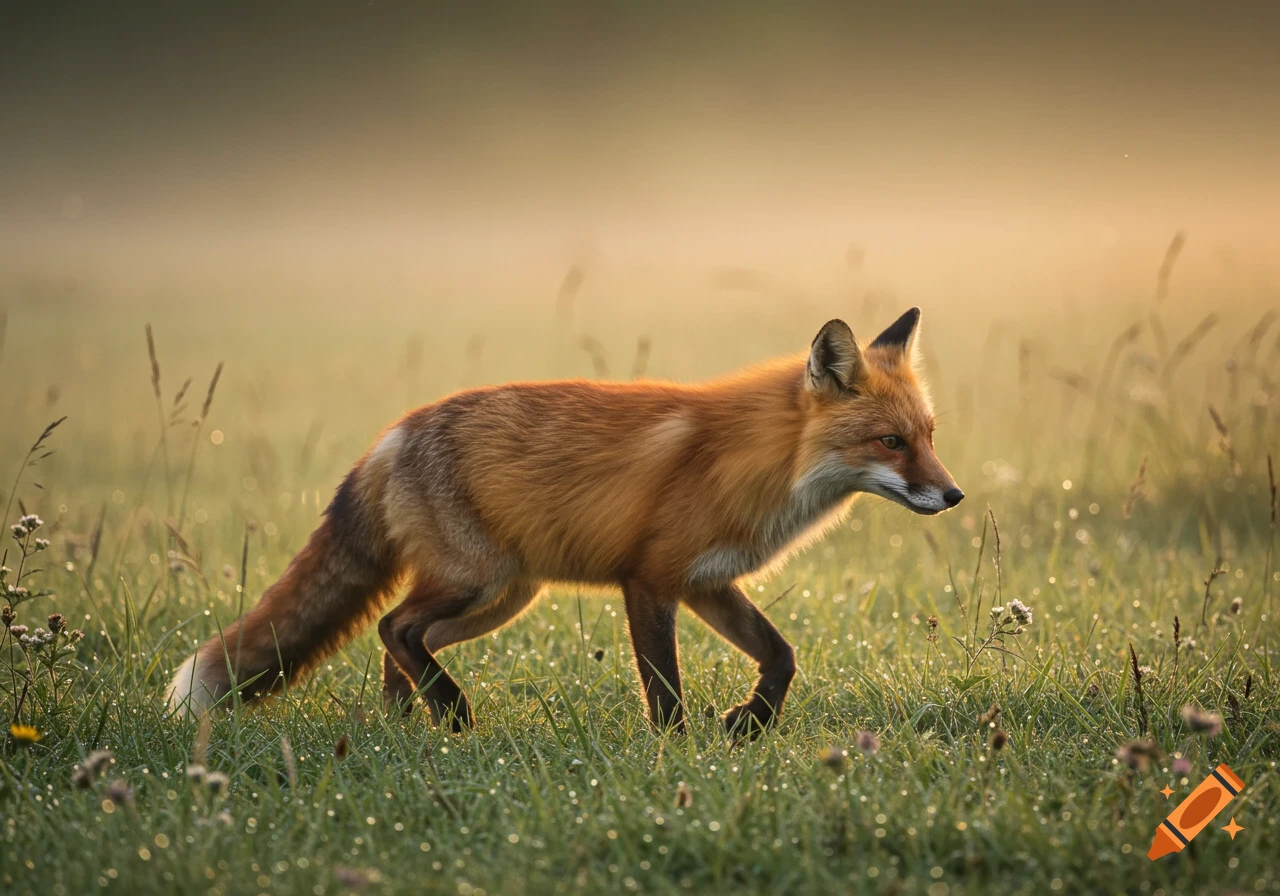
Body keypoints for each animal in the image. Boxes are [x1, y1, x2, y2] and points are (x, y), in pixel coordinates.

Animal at [167, 308, 962, 735]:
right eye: (890, 442)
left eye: (929, 435)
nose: (953, 496)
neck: (760, 461)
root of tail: (393, 434)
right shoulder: (650, 580)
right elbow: (664, 689)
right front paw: (679, 753)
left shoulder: (707, 583)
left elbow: (782, 656)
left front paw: (749, 724)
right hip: (478, 580)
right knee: (395, 627)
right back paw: (448, 714)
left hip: (502, 598)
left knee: (402, 641)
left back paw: (408, 728)